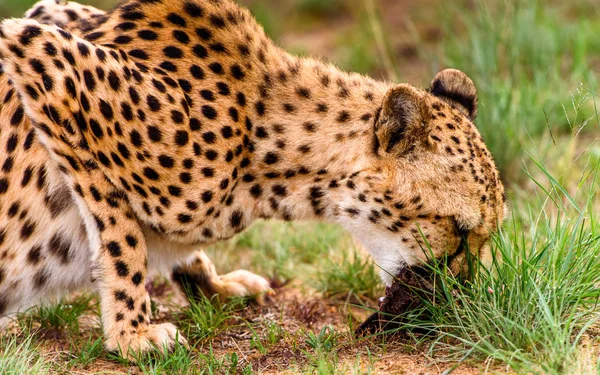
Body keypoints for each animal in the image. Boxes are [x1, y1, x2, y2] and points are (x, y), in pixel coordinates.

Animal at [0, 0, 506, 360]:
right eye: (458, 230)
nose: (466, 297)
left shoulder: (48, 14)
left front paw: (215, 287)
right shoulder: (39, 53)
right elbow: (122, 236)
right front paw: (132, 333)